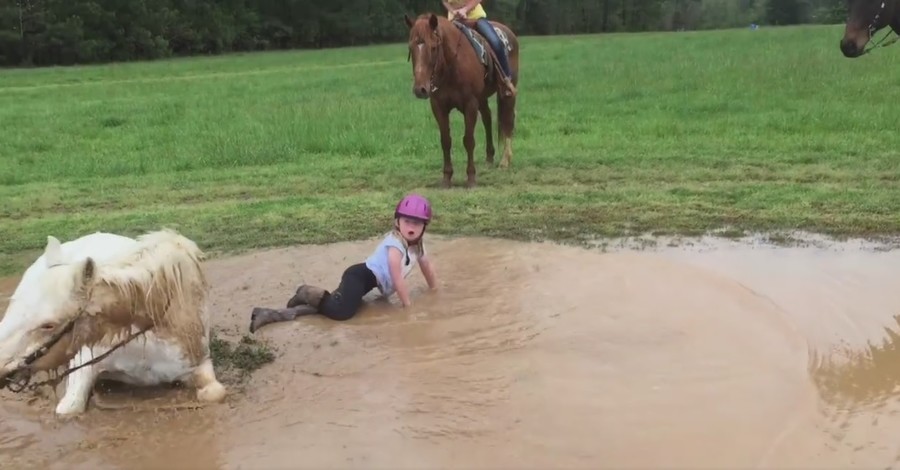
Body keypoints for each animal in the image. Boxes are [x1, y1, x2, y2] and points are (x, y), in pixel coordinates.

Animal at [402, 11, 520, 187]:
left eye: (433, 47)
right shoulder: (438, 106)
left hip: (507, 92)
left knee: (507, 121)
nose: (420, 89)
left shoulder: (470, 104)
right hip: (482, 98)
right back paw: (489, 157)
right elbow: (445, 140)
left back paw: (505, 160)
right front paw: (446, 177)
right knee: (487, 118)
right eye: (411, 47)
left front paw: (471, 177)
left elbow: (468, 140)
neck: (452, 65)